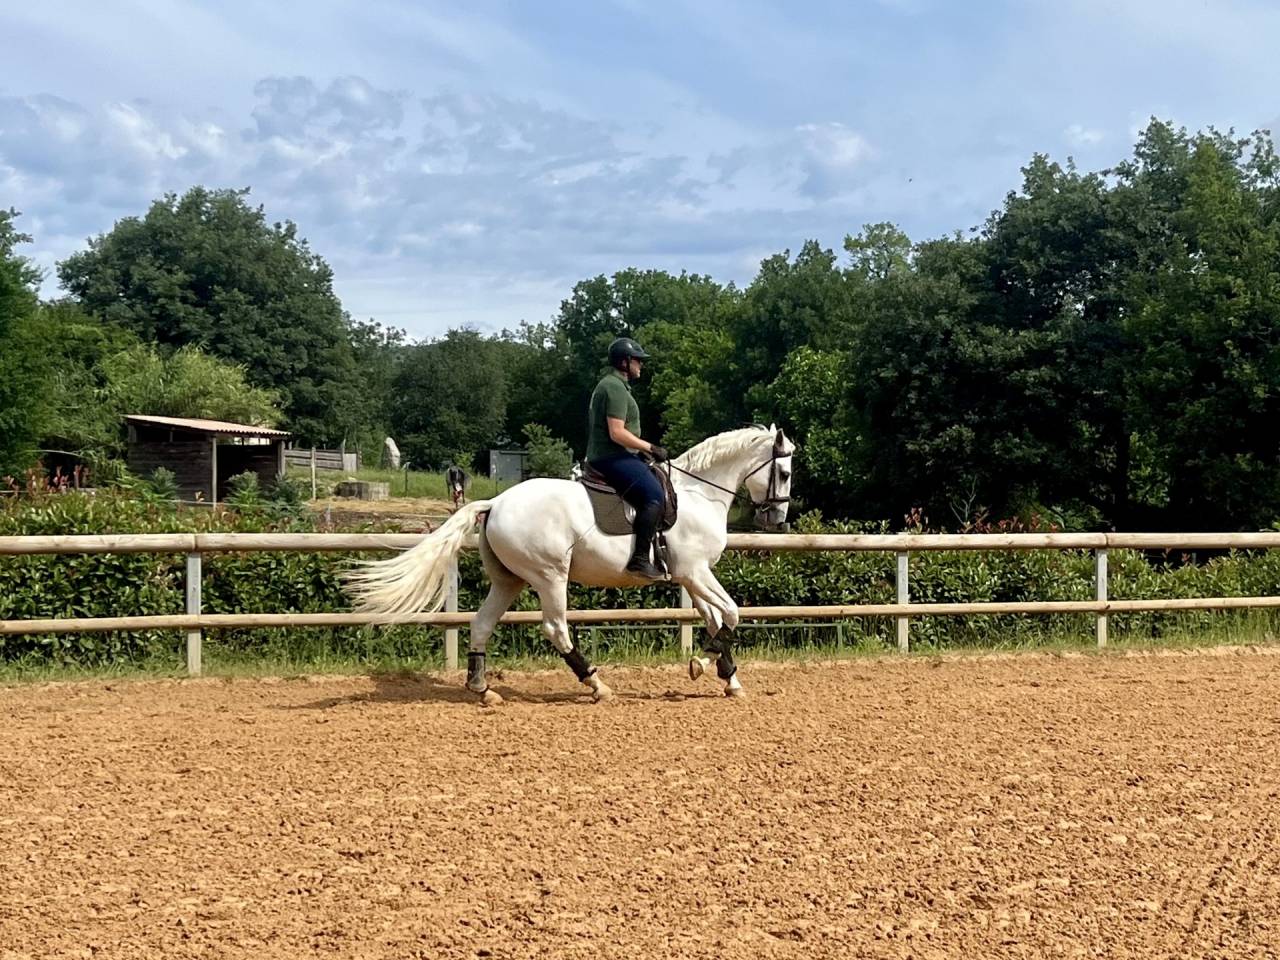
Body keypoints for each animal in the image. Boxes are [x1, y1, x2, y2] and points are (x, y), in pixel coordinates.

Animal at [344, 425, 794, 703]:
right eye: (786, 472)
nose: (777, 518)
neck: (700, 494)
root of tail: (496, 502)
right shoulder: (695, 572)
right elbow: (731, 614)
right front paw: (703, 664)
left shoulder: (693, 576)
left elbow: (716, 620)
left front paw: (728, 678)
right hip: (549, 576)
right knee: (556, 628)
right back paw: (596, 684)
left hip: (509, 580)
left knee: (482, 624)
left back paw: (482, 688)